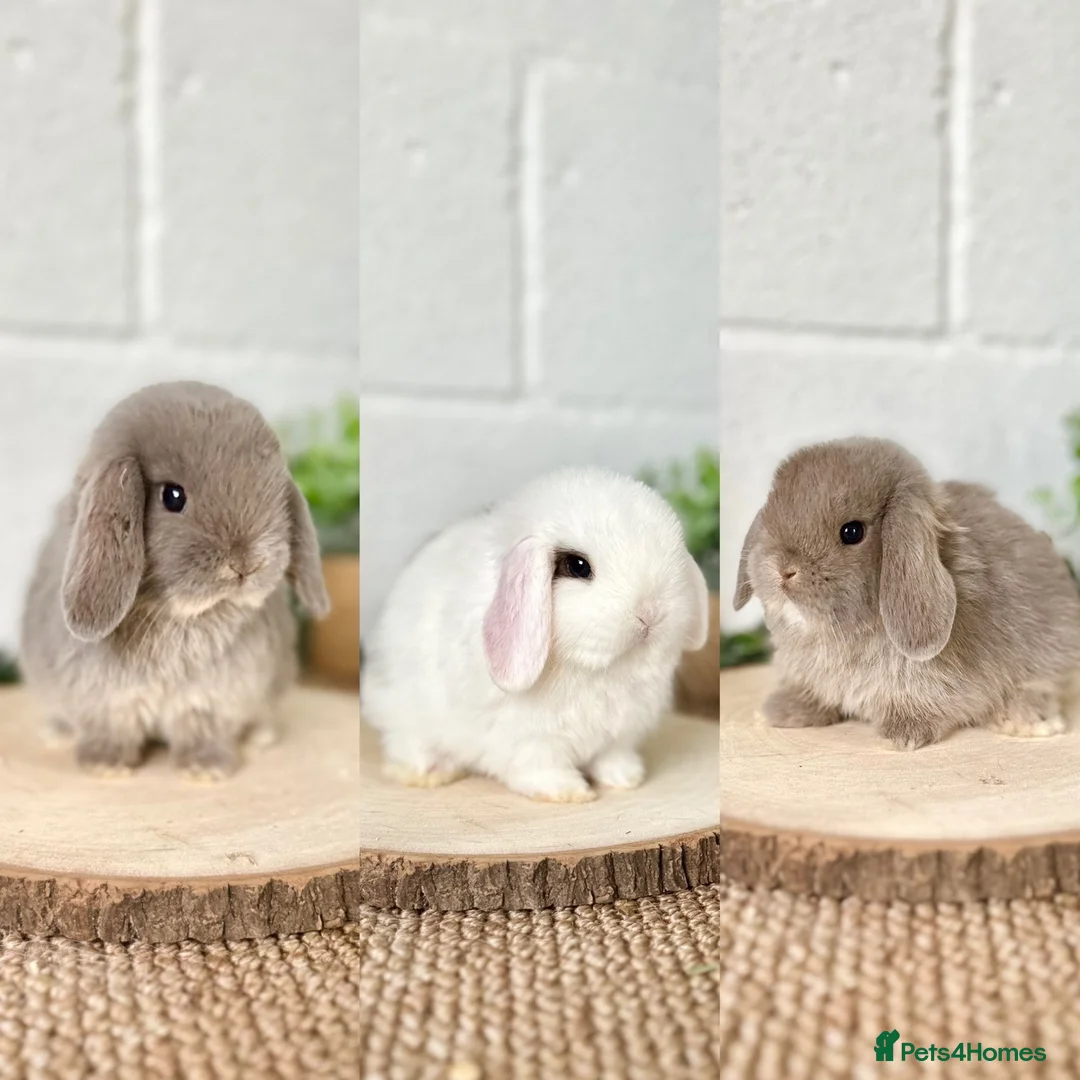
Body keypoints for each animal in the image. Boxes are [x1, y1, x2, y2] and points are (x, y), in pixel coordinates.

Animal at [19, 381, 331, 778]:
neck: (179, 616)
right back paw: (56, 733)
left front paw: (206, 769)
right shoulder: (105, 700)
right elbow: (111, 727)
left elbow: (201, 728)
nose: (246, 564)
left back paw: (261, 736)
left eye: (275, 493)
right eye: (172, 496)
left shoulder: (210, 698)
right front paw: (105, 765)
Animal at [360, 466, 710, 802]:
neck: (598, 672)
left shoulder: (619, 735)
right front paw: (569, 792)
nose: (650, 612)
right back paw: (431, 772)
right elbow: (542, 767)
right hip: (403, 710)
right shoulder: (531, 740)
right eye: (578, 566)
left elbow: (612, 758)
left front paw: (627, 779)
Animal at [734, 436, 1080, 750]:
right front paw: (781, 711)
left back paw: (1027, 719)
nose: (783, 570)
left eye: (852, 532)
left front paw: (902, 734)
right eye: (771, 515)